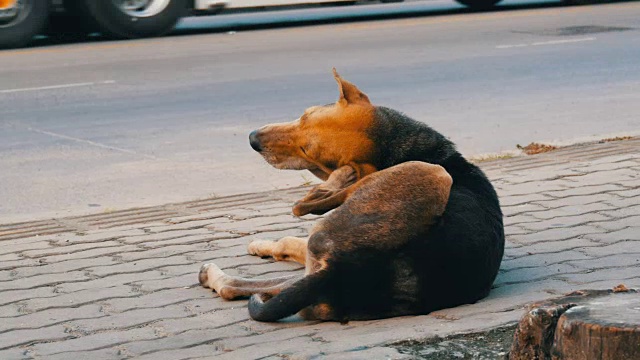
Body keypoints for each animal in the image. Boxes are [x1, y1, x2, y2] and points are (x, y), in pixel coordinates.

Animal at [200, 69, 504, 322]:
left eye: (308, 151)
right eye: (304, 116)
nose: (252, 139)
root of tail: (343, 271)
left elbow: (289, 239)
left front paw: (262, 244)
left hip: (433, 173)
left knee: (237, 286)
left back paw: (213, 275)